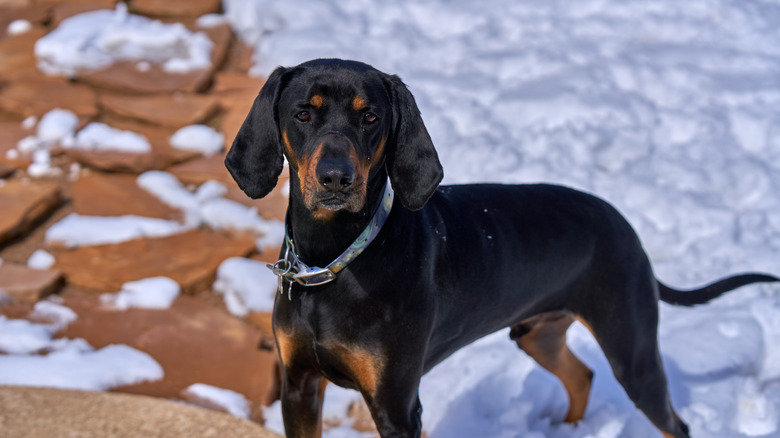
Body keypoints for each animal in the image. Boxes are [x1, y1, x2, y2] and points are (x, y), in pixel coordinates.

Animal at [224, 59, 772, 438]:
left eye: (371, 117)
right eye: (303, 113)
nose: (336, 178)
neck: (334, 260)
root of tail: (626, 228)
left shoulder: (397, 404)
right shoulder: (298, 386)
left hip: (632, 351)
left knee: (670, 420)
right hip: (538, 334)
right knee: (581, 376)